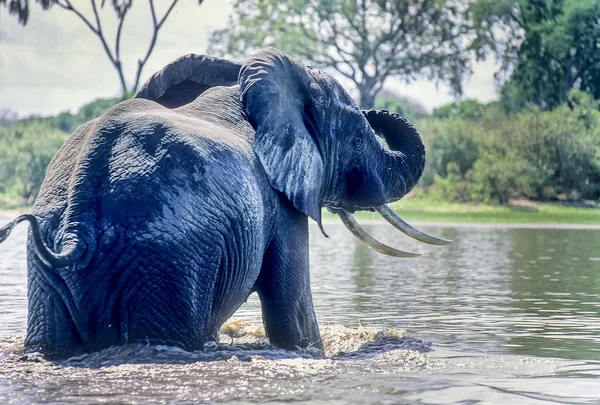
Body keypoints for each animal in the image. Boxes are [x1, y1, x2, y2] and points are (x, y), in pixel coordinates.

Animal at [0, 46, 450, 356]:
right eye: (357, 137)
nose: (375, 111)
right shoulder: (280, 204)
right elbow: (291, 312)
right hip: (166, 256)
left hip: (54, 259)